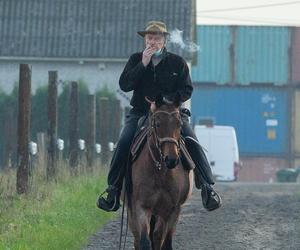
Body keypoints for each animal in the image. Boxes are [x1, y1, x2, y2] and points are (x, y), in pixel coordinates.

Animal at [125, 94, 193, 249]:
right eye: (157, 124)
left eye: (179, 124)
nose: (171, 159)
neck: (160, 173)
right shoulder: (141, 207)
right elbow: (144, 241)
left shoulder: (172, 210)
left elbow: (161, 239)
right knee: (137, 239)